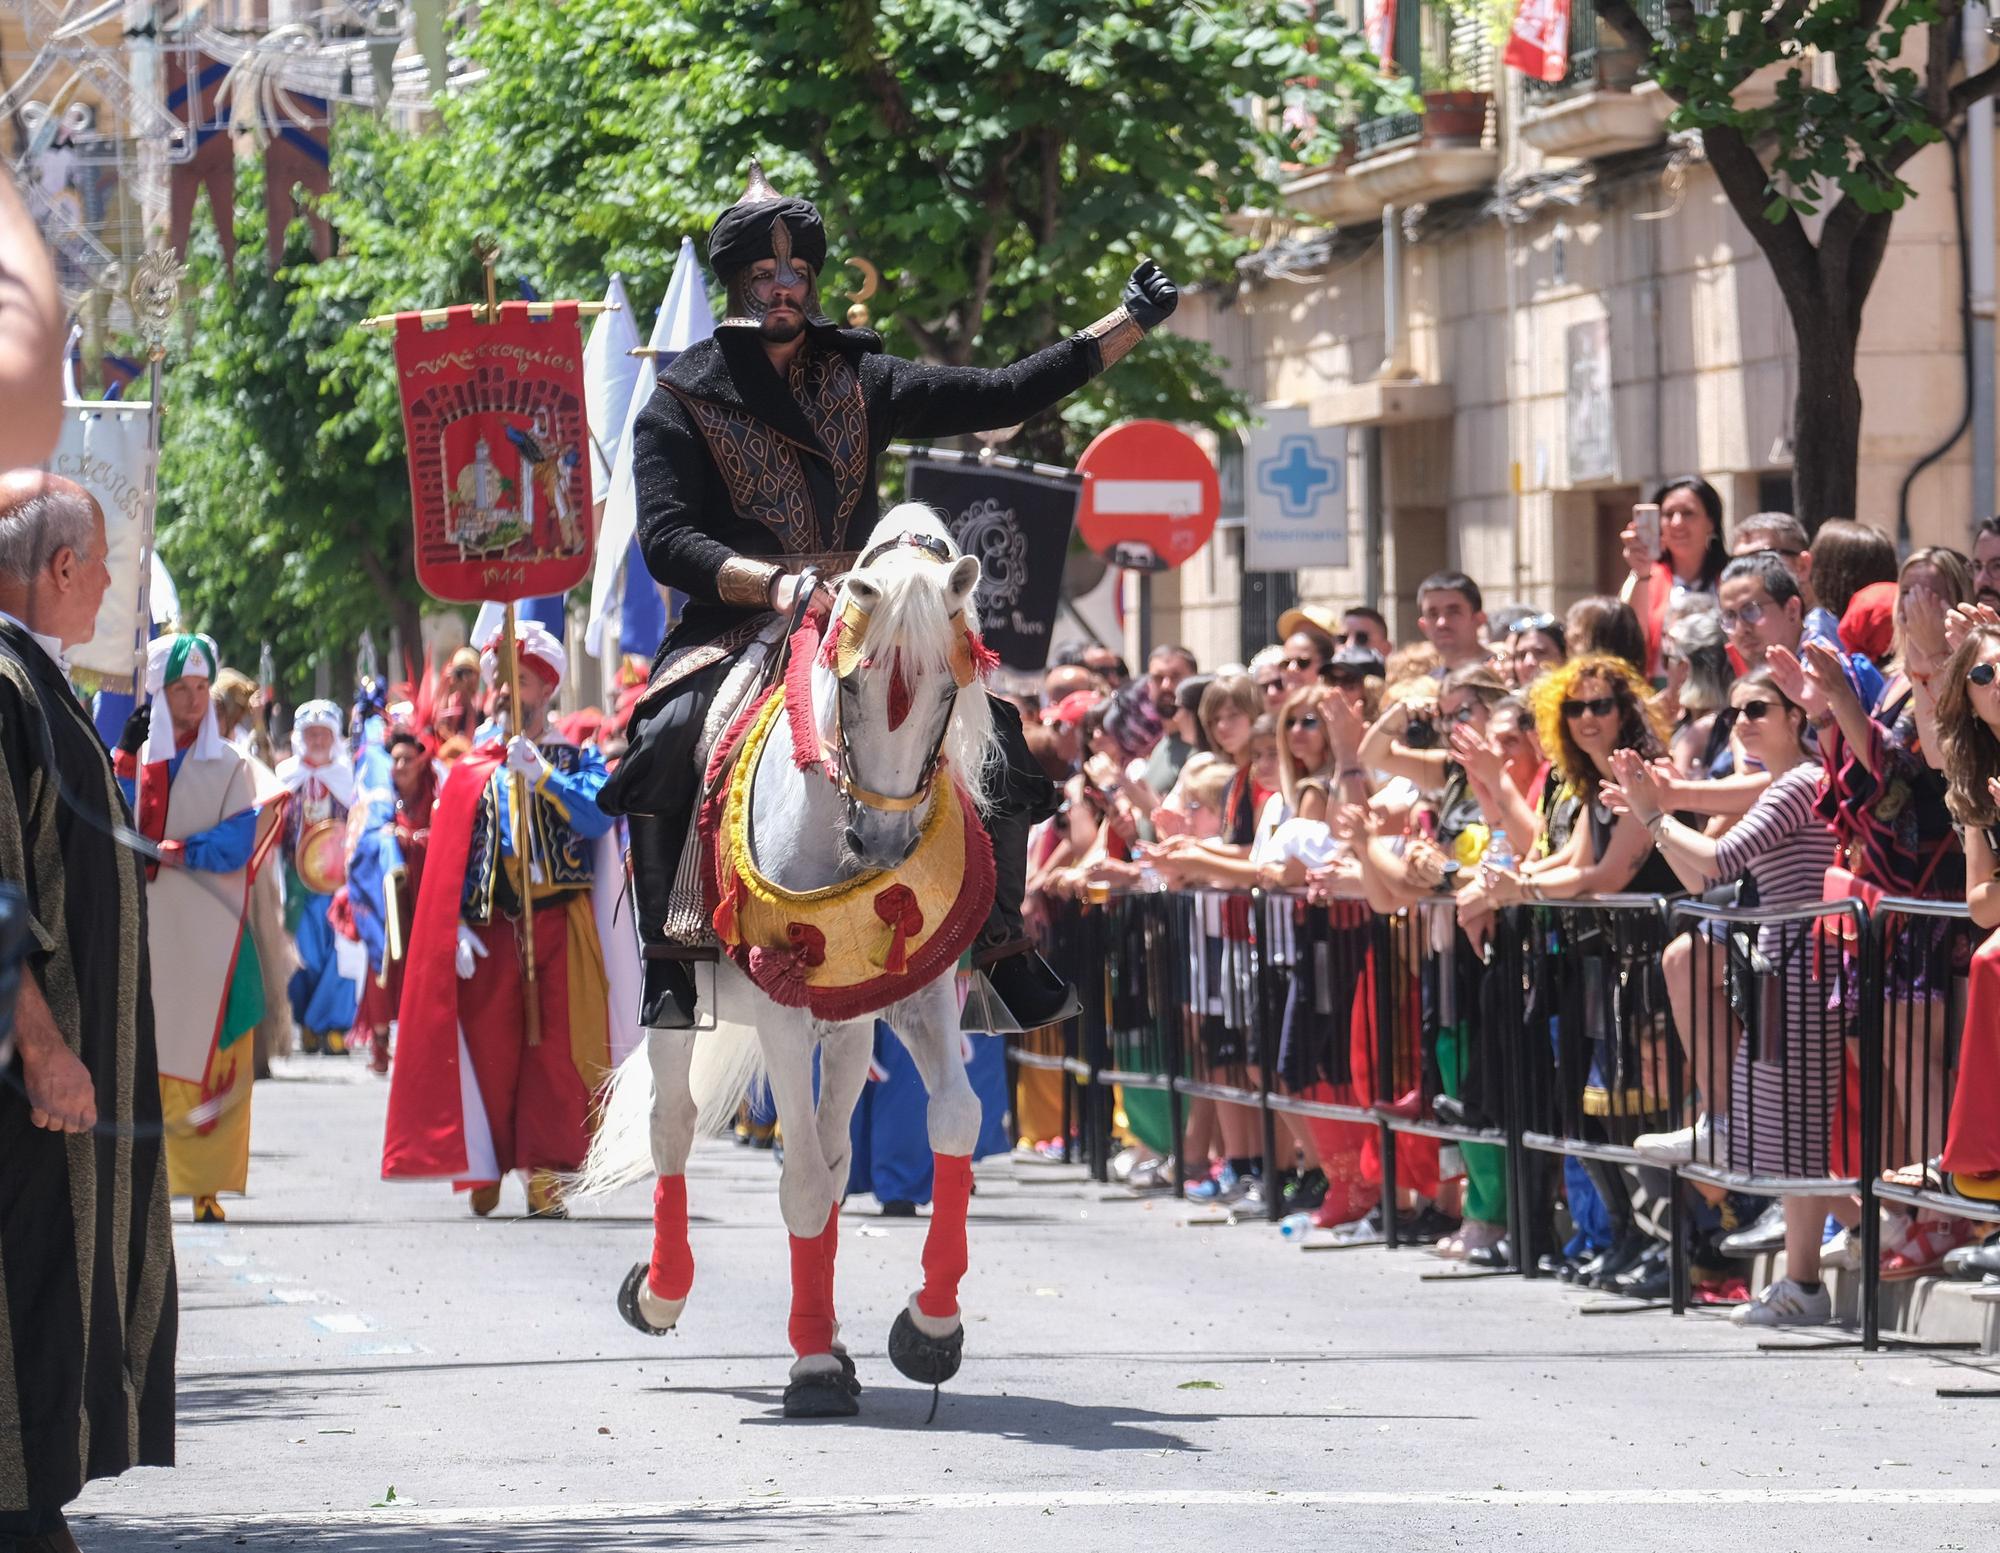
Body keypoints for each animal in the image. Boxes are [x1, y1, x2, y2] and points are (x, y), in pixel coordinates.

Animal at [584, 506, 1008, 1416]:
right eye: (851, 687)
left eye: (945, 689)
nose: (882, 845)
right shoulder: (782, 1009)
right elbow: (803, 1180)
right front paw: (813, 1365)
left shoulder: (916, 996)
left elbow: (953, 1120)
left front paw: (929, 1326)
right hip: (679, 996)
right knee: (674, 1126)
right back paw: (662, 1291)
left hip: (846, 1031)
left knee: (839, 1148)